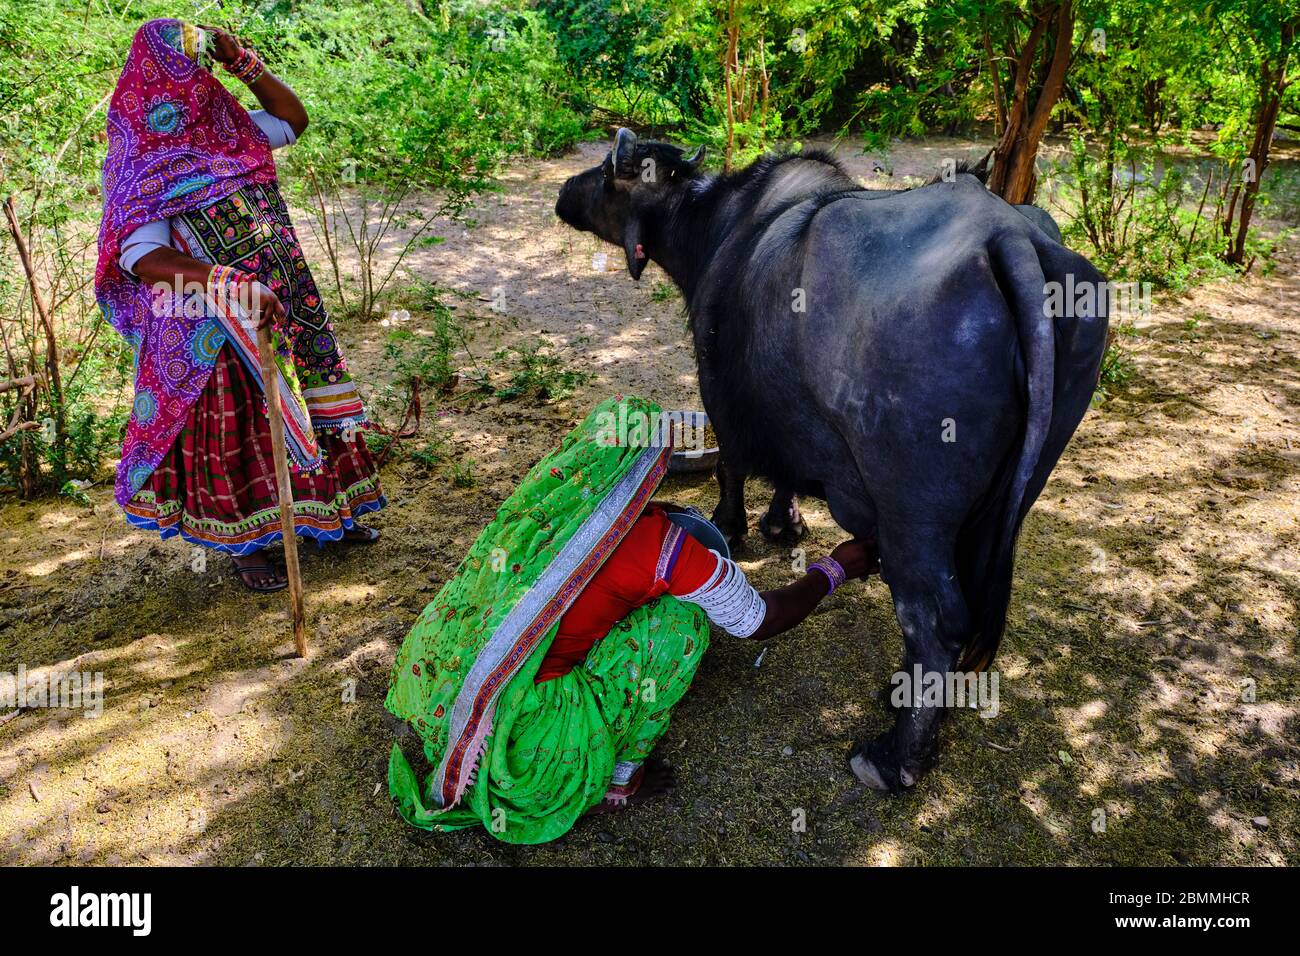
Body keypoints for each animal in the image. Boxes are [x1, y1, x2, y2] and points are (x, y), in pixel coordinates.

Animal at [556, 132, 1107, 790]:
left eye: (604, 173)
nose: (563, 194)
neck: (720, 226)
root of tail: (1009, 240)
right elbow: (789, 467)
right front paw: (785, 521)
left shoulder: (720, 389)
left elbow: (733, 463)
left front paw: (736, 526)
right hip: (1011, 500)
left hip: (914, 514)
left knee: (938, 620)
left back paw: (893, 760)